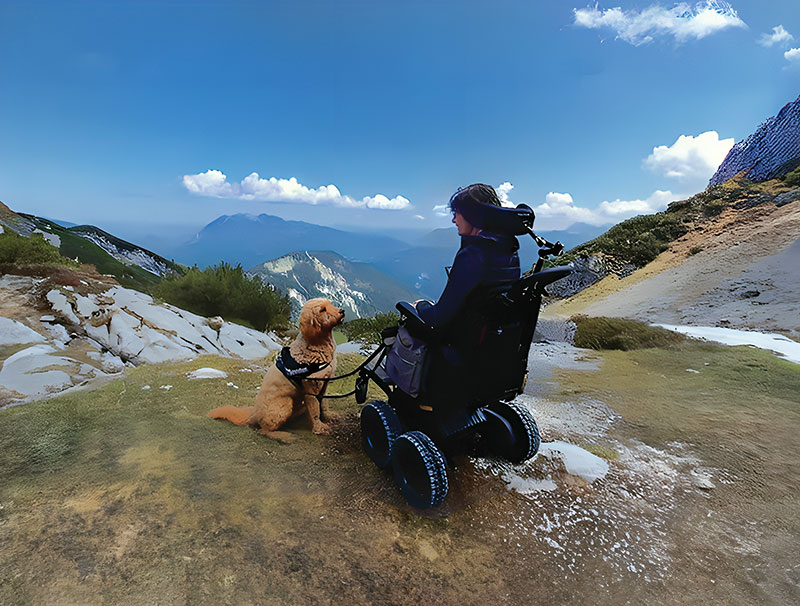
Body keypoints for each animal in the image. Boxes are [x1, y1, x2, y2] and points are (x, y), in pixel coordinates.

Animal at [209, 298, 344, 442]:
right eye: (322, 309)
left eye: (330, 304)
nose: (342, 311)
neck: (316, 345)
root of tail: (253, 414)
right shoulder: (310, 388)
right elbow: (315, 409)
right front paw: (319, 427)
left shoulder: (324, 383)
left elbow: (323, 404)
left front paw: (329, 416)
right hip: (285, 403)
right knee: (263, 430)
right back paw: (284, 436)